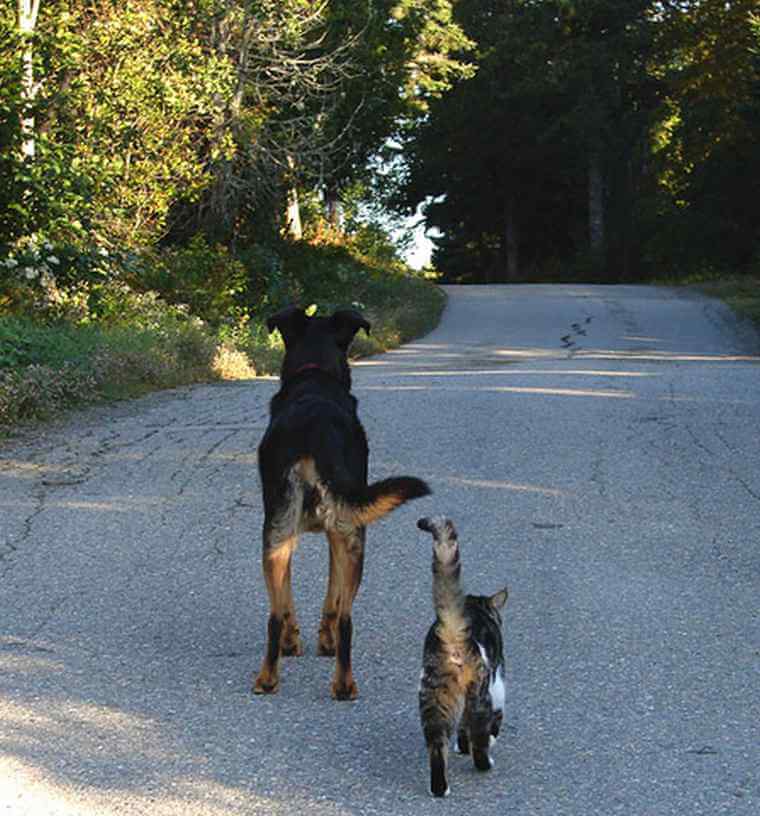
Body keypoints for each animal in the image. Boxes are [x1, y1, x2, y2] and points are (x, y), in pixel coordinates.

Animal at [254, 302, 430, 700]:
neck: (315, 374)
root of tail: (314, 432)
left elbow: (296, 603)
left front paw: (298, 642)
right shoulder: (337, 532)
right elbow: (332, 601)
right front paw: (321, 642)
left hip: (278, 533)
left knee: (275, 615)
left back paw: (271, 678)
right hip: (351, 536)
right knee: (346, 618)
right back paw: (342, 682)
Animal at [416, 516, 510, 796]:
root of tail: (453, 631)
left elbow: (461, 728)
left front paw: (460, 745)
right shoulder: (498, 685)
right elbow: (489, 726)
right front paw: (486, 741)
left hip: (433, 695)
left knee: (436, 743)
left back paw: (439, 788)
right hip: (479, 693)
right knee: (479, 735)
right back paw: (485, 763)